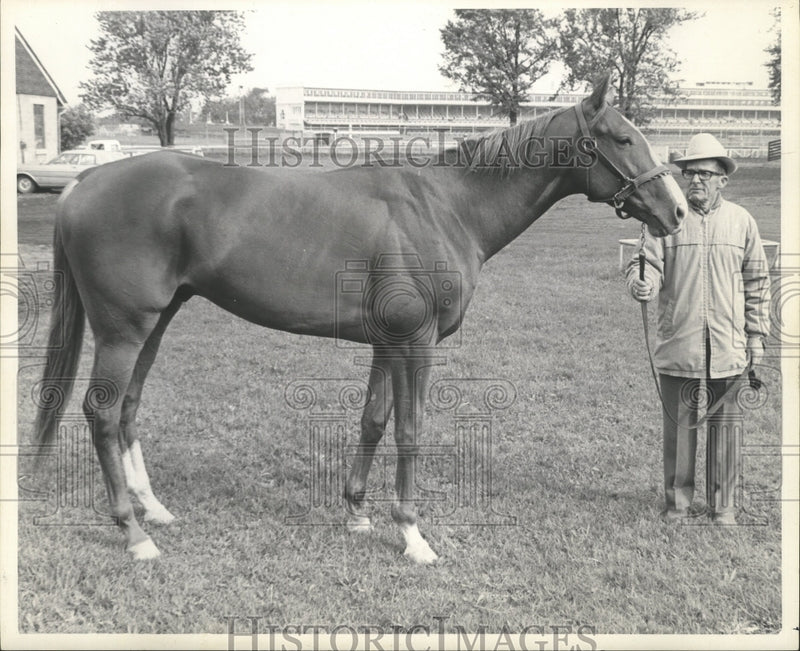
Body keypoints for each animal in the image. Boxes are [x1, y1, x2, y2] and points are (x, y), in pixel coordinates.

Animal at [32, 74, 686, 563]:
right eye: (622, 138)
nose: (677, 210)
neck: (446, 207)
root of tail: (84, 180)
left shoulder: (385, 341)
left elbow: (373, 421)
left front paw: (357, 514)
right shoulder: (417, 341)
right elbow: (410, 431)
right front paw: (413, 535)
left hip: (157, 321)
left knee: (128, 408)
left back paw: (156, 511)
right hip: (123, 329)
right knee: (102, 412)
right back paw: (134, 533)